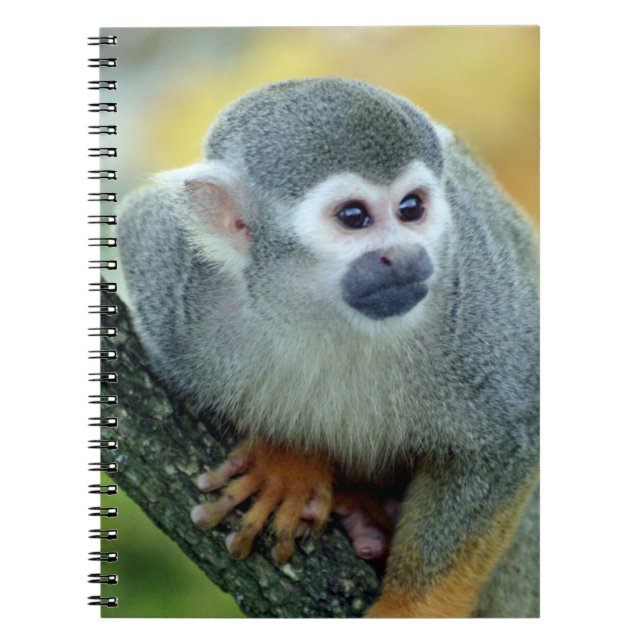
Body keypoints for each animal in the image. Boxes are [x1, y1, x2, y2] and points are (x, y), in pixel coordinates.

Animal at [118, 77, 539, 618]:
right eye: (354, 216)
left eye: (411, 209)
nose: (405, 257)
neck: (327, 314)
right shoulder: (178, 286)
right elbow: (138, 223)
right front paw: (287, 460)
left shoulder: (477, 291)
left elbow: (510, 435)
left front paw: (409, 611)